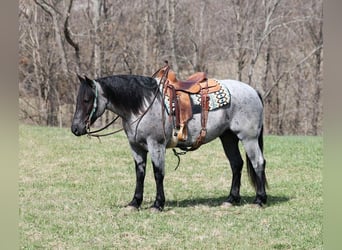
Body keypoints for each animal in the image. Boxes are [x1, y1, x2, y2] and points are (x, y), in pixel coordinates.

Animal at [70, 67, 268, 210]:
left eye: (87, 99)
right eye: (78, 99)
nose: (75, 128)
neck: (142, 105)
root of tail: (253, 91)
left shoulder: (156, 145)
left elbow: (158, 173)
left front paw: (158, 204)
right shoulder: (136, 147)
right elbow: (140, 174)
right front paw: (135, 203)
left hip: (249, 138)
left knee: (258, 163)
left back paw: (259, 200)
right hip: (228, 138)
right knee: (236, 164)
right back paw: (231, 199)